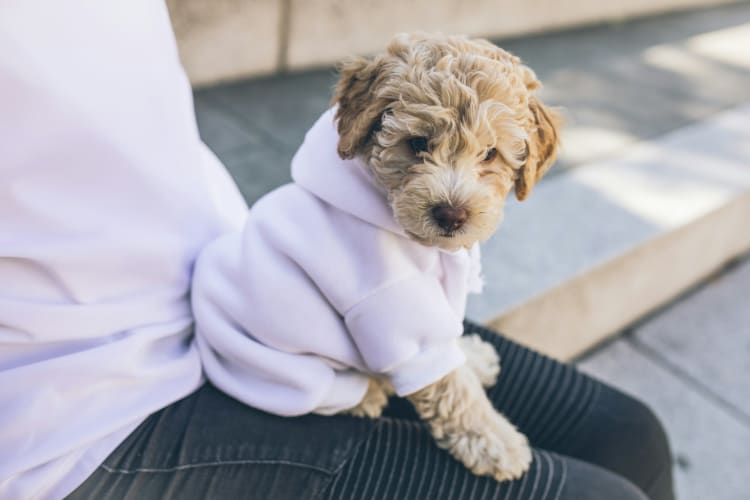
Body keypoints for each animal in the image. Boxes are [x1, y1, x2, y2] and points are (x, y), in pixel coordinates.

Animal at [191, 32, 560, 484]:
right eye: (417, 144)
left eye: (490, 153)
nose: (451, 214)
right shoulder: (390, 305)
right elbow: (450, 386)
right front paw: (495, 441)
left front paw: (472, 357)